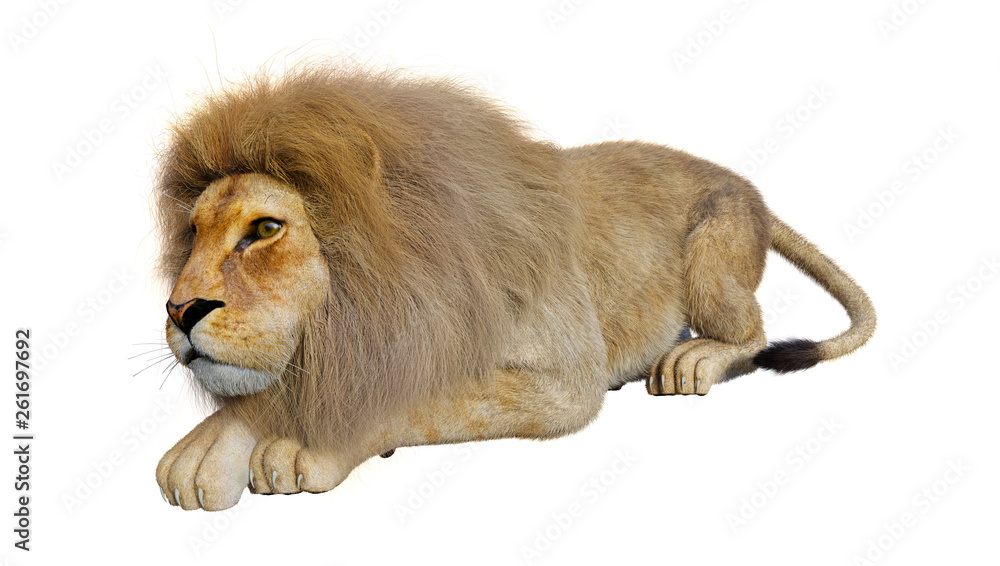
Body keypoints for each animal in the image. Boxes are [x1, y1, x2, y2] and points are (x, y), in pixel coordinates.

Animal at [153, 64, 875, 511]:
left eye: (264, 229)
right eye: (192, 232)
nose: (180, 310)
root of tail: (740, 180)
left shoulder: (563, 378)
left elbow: (414, 398)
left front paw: (305, 444)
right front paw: (207, 447)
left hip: (713, 248)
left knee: (750, 333)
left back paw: (694, 358)